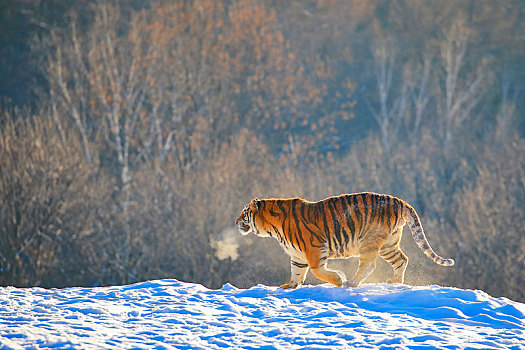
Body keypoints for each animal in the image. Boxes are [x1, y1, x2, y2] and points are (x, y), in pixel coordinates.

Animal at [235, 193, 452, 288]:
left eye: (244, 213)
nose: (236, 222)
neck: (273, 228)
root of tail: (401, 201)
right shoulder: (297, 255)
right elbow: (296, 272)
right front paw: (289, 287)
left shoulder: (314, 248)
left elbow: (317, 270)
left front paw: (338, 279)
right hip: (388, 244)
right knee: (402, 260)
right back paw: (395, 282)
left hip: (369, 241)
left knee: (369, 265)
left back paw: (352, 282)